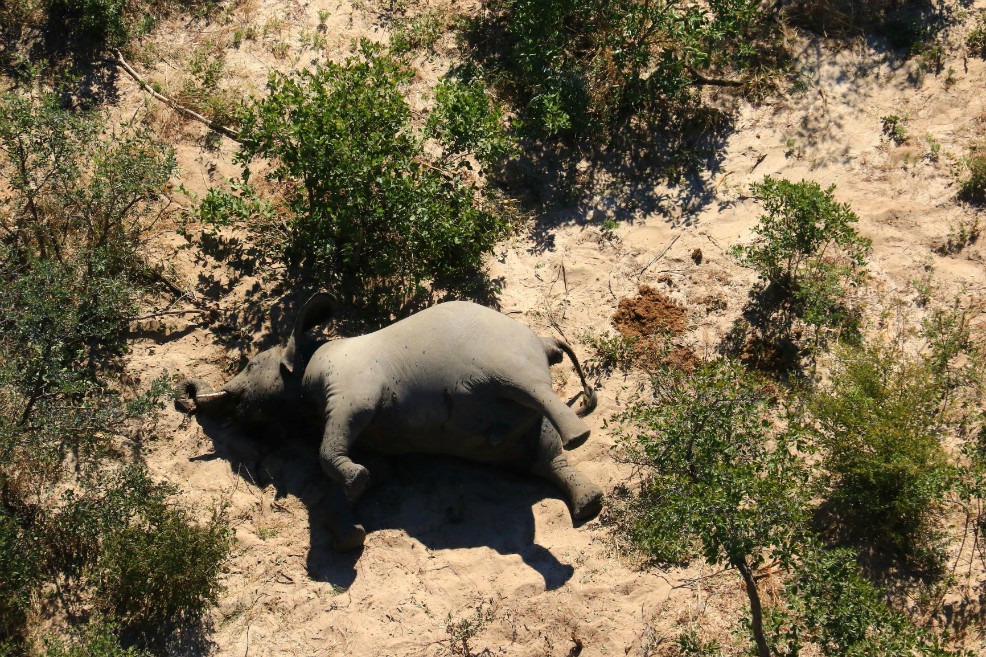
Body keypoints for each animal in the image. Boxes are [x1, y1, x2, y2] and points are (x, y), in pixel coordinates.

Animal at [178, 293, 603, 551]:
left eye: (251, 364)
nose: (187, 391)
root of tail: (545, 342)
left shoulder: (352, 388)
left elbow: (331, 447)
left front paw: (354, 485)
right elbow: (371, 470)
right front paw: (351, 532)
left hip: (508, 361)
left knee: (534, 394)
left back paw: (579, 438)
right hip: (518, 428)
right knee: (544, 456)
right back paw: (589, 505)